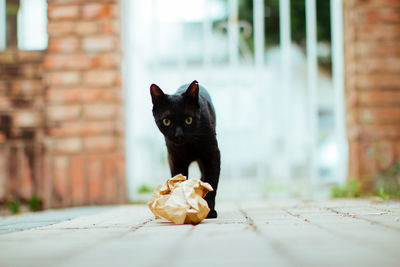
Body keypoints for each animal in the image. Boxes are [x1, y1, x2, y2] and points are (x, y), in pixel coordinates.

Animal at [150, 80, 220, 219]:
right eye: (166, 121)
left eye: (188, 120)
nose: (179, 135)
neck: (189, 146)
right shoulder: (175, 159)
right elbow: (179, 183)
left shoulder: (212, 155)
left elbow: (211, 183)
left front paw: (209, 209)